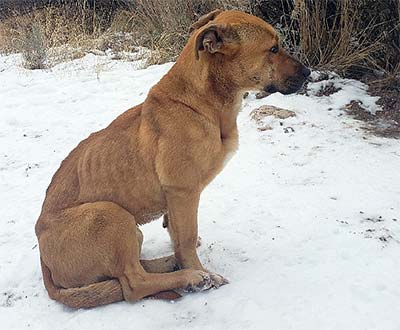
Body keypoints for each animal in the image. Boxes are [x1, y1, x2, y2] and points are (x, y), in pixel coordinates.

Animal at [35, 9, 310, 310]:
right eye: (272, 49)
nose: (309, 73)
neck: (200, 102)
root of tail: (44, 260)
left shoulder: (175, 201)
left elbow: (178, 237)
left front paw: (183, 260)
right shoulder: (183, 192)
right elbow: (185, 240)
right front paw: (199, 270)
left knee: (136, 268)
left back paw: (170, 264)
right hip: (110, 215)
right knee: (133, 284)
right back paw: (192, 277)